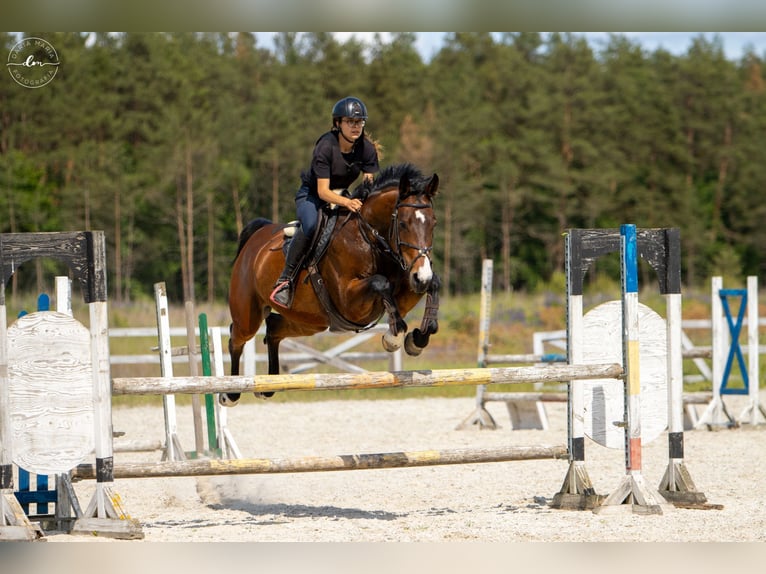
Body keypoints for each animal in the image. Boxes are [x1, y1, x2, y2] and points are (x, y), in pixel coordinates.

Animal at [224, 163, 441, 406]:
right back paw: (230, 393)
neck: (369, 239)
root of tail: (257, 237)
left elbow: (433, 284)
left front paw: (417, 339)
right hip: (248, 315)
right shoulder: (350, 303)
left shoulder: (407, 281)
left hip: (309, 321)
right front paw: (393, 338)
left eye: (433, 223)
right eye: (403, 224)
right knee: (236, 338)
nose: (421, 276)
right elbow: (380, 283)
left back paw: (268, 386)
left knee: (273, 328)